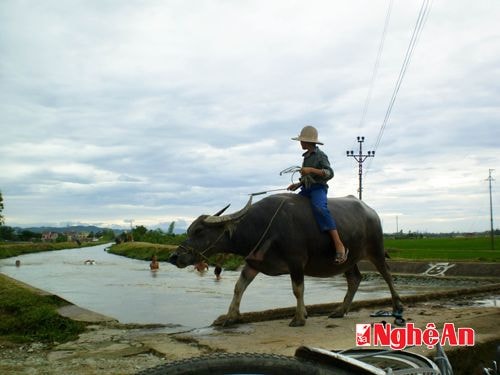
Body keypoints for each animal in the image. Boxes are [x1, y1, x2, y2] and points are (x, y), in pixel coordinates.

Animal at [169, 195, 402, 328]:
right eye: (189, 229)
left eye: (199, 231)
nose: (174, 257)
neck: (264, 226)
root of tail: (372, 212)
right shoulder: (253, 264)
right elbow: (239, 287)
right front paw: (231, 317)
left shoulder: (296, 262)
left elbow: (298, 289)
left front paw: (299, 318)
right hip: (347, 259)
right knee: (355, 279)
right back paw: (339, 311)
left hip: (375, 250)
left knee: (387, 274)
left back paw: (397, 306)